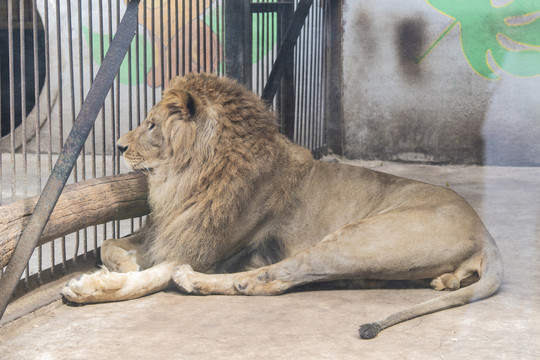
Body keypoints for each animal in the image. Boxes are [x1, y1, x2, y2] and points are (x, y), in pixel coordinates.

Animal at [61, 72, 504, 338]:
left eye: (152, 125)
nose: (119, 147)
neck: (192, 177)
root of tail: (485, 231)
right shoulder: (169, 227)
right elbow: (110, 244)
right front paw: (122, 264)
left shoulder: (213, 250)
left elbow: (156, 274)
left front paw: (92, 287)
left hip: (357, 238)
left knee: (269, 279)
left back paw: (194, 281)